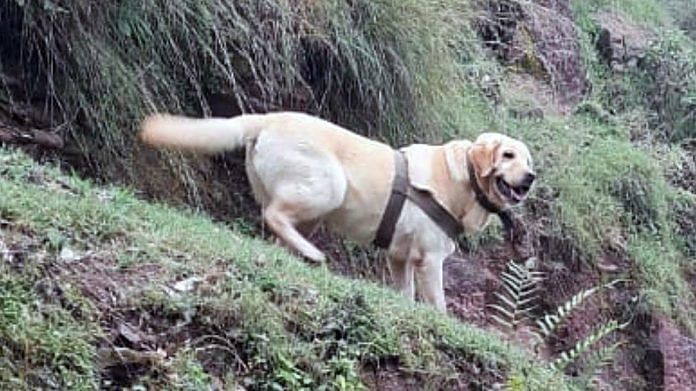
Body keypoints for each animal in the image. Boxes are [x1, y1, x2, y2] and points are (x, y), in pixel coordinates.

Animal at [140, 112, 532, 314]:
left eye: (528, 161)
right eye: (508, 155)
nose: (530, 178)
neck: (463, 178)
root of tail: (267, 119)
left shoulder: (399, 259)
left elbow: (404, 294)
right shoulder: (429, 259)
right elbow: (438, 304)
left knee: (276, 229)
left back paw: (298, 254)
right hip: (329, 187)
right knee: (273, 215)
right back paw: (313, 254)